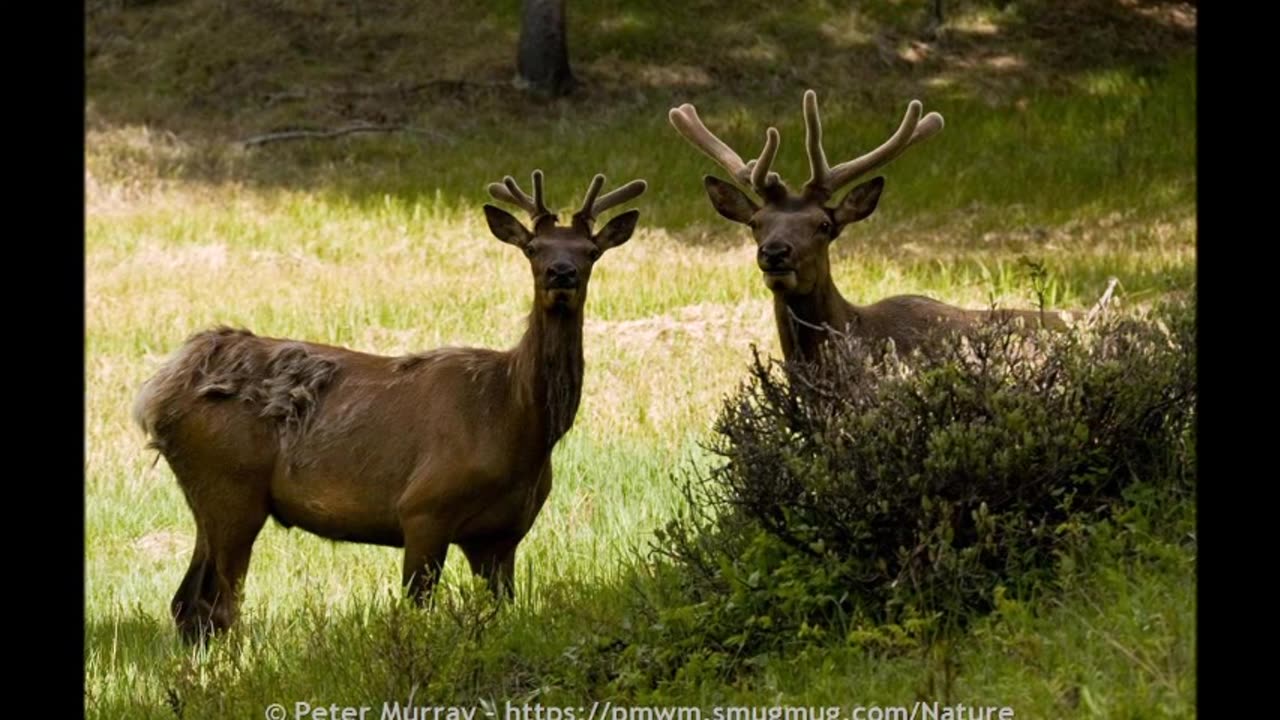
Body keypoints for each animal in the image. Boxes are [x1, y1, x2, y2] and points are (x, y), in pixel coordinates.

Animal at [137, 170, 650, 640]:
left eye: (591, 251)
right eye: (532, 248)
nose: (561, 273)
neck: (516, 423)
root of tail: (158, 391)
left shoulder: (501, 535)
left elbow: (503, 617)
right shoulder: (424, 508)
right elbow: (417, 611)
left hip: (209, 493)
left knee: (186, 603)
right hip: (231, 484)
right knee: (219, 606)